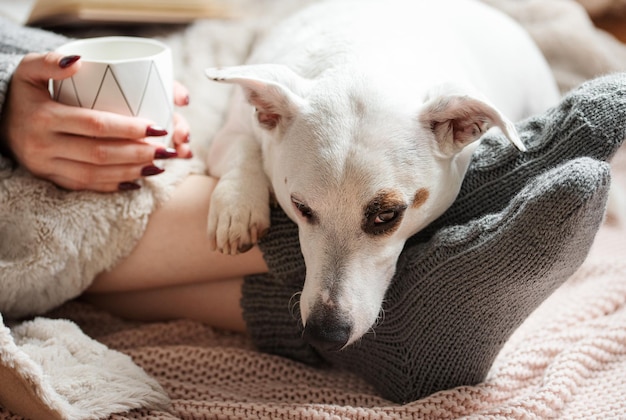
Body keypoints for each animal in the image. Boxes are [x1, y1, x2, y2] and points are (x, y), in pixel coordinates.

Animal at [204, 0, 556, 352]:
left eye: (387, 216)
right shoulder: (228, 135)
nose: (324, 334)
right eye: (301, 207)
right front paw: (238, 208)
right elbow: (242, 148)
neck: (361, 55)